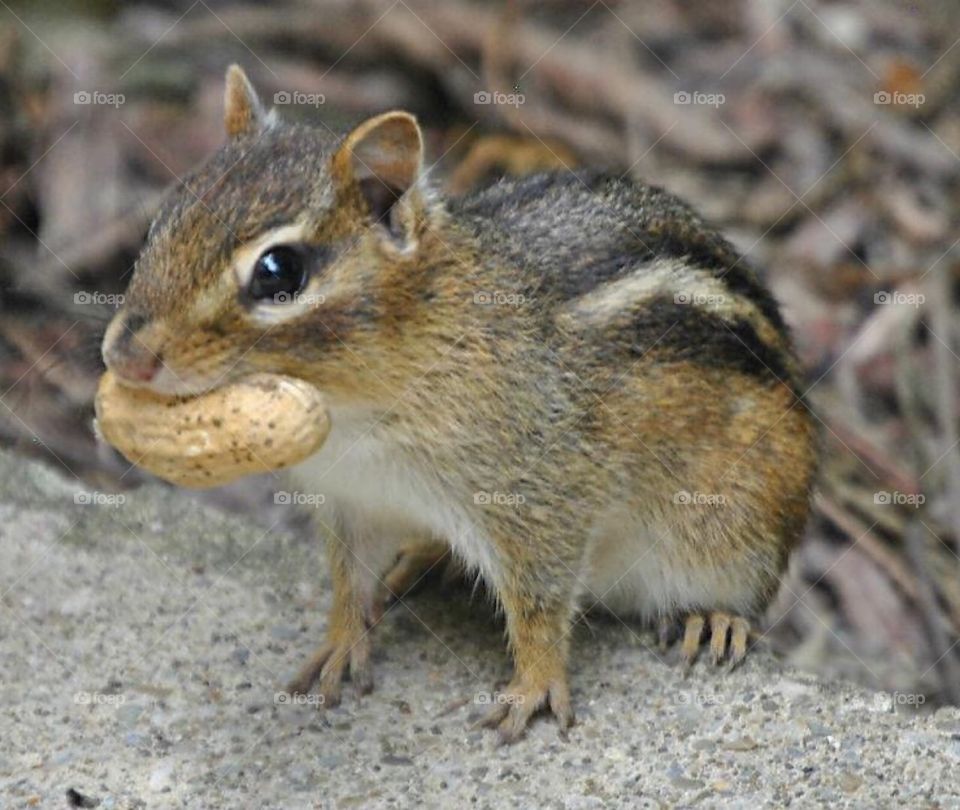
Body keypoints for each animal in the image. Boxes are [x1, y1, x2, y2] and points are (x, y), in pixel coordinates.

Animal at [101, 65, 817, 743]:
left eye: (280, 272)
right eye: (165, 218)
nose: (124, 354)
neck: (355, 415)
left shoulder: (538, 492)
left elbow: (540, 600)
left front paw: (534, 684)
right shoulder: (350, 499)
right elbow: (348, 580)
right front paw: (340, 642)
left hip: (739, 526)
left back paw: (714, 620)